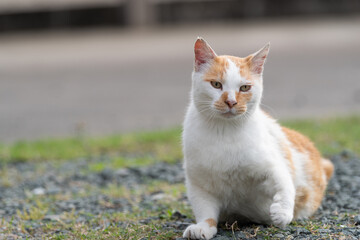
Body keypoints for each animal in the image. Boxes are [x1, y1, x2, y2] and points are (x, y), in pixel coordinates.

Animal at [183, 36, 334, 239]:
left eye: (245, 87)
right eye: (216, 84)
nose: (231, 102)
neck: (224, 132)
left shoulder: (271, 166)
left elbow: (284, 182)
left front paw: (282, 212)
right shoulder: (199, 184)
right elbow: (205, 210)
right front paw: (203, 227)